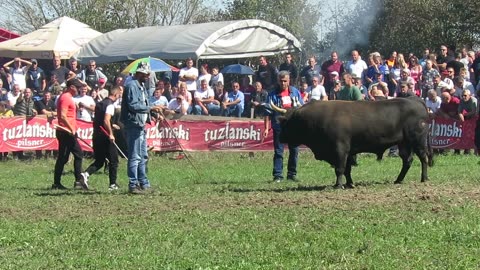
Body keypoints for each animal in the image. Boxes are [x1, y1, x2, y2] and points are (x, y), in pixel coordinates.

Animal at [272, 98, 434, 189]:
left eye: (286, 123)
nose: (280, 137)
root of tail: (416, 101)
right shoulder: (348, 152)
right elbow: (347, 170)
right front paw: (350, 183)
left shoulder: (340, 149)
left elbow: (340, 169)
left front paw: (338, 185)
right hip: (404, 144)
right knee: (407, 161)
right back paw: (398, 180)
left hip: (417, 141)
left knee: (423, 158)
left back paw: (424, 178)